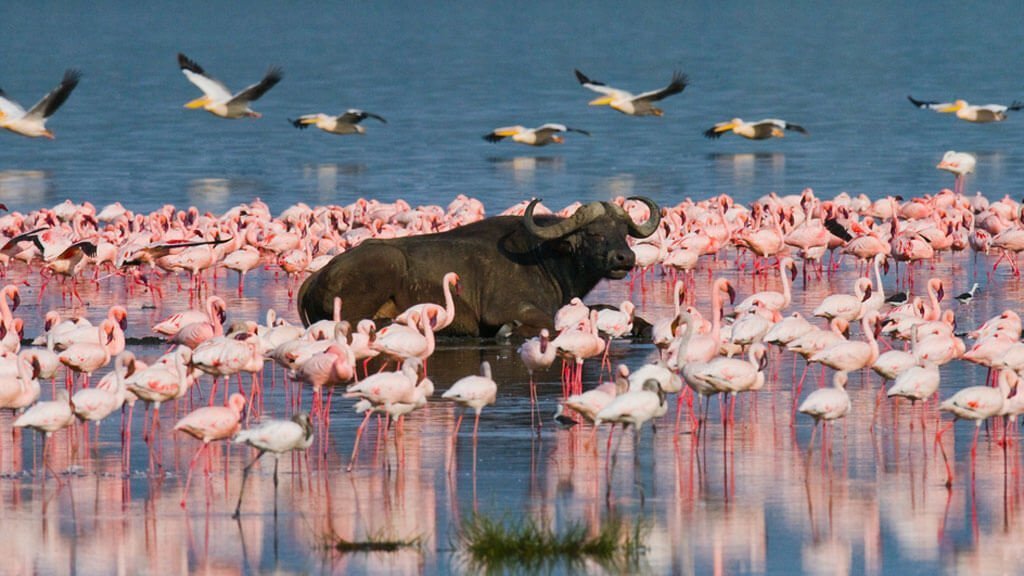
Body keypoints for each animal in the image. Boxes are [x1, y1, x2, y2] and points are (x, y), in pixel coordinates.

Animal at [297, 197, 660, 337]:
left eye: (623, 231)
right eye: (594, 233)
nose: (625, 259)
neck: (546, 259)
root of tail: (316, 277)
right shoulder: (508, 310)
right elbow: (549, 323)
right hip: (386, 263)